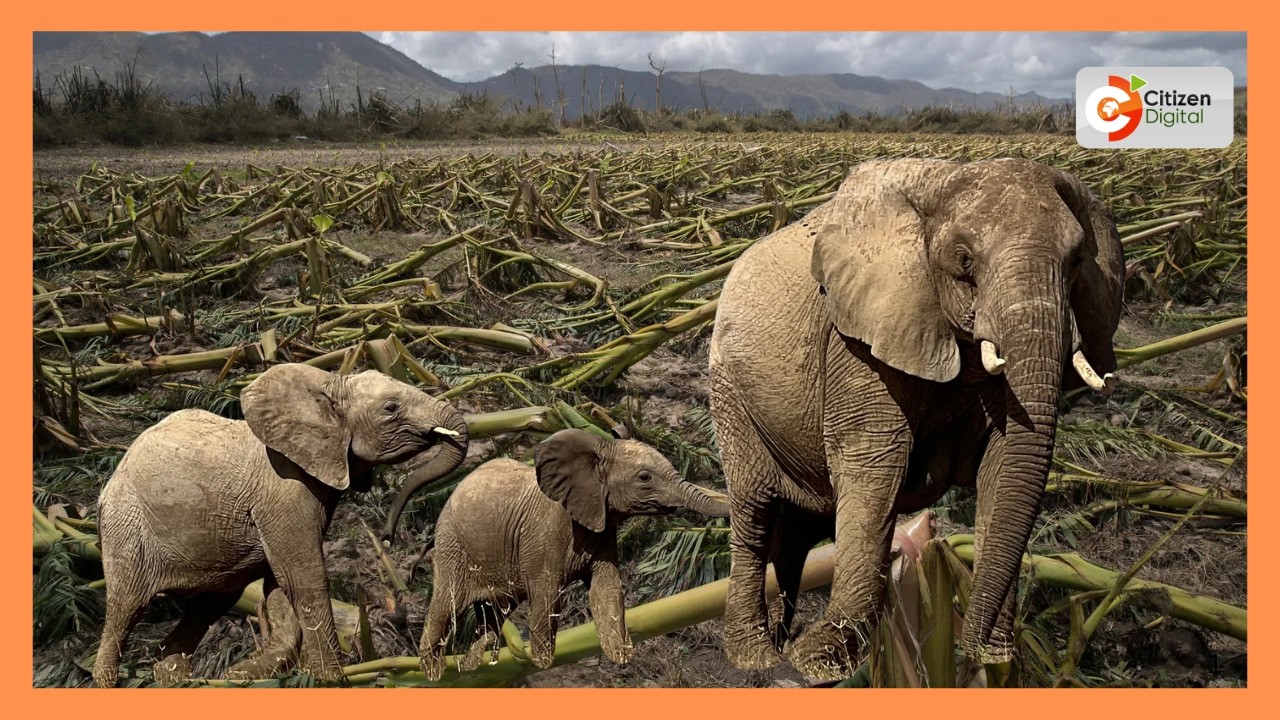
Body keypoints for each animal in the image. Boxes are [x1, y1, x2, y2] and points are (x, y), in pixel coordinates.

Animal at [90, 363, 468, 688]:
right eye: (391, 408)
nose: (387, 538)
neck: (330, 383)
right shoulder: (284, 493)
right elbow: (304, 579)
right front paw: (332, 681)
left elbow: (280, 585)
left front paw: (243, 675)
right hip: (127, 527)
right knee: (125, 609)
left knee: (206, 608)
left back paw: (180, 681)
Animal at [417, 428, 731, 680]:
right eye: (645, 477)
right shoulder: (544, 531)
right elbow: (547, 595)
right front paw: (543, 664)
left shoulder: (601, 526)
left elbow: (607, 589)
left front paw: (621, 658)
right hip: (453, 548)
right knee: (444, 608)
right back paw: (433, 675)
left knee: (491, 617)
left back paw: (471, 672)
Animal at [709, 158, 1124, 681]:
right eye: (964, 260)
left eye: (1075, 264)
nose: (965, 653)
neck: (943, 181)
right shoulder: (856, 340)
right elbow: (872, 462)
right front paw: (822, 663)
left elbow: (1003, 466)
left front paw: (998, 658)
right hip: (728, 389)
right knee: (755, 511)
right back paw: (757, 658)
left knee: (798, 528)